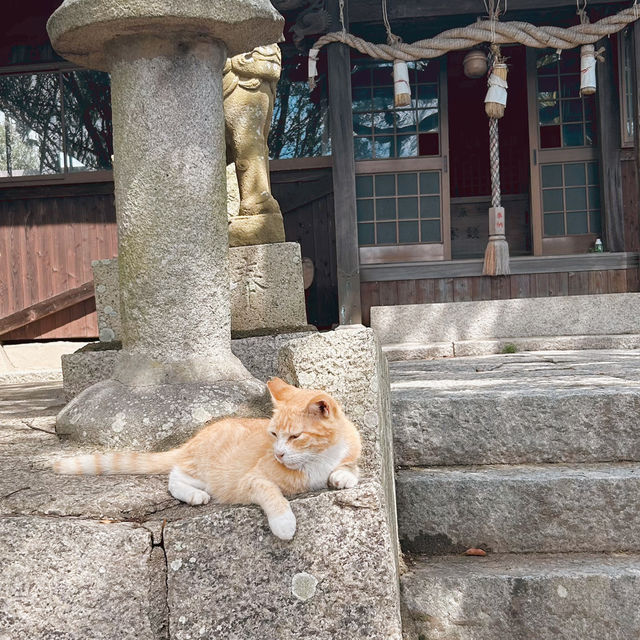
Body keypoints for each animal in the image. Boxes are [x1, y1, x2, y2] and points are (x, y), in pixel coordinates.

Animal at [52, 380, 362, 540]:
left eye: (295, 436)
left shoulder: (351, 453)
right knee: (174, 476)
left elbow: (351, 468)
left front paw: (342, 475)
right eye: (274, 434)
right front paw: (284, 522)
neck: (319, 458)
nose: (278, 453)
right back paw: (194, 496)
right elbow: (271, 493)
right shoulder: (251, 480)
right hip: (207, 472)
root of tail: (193, 440)